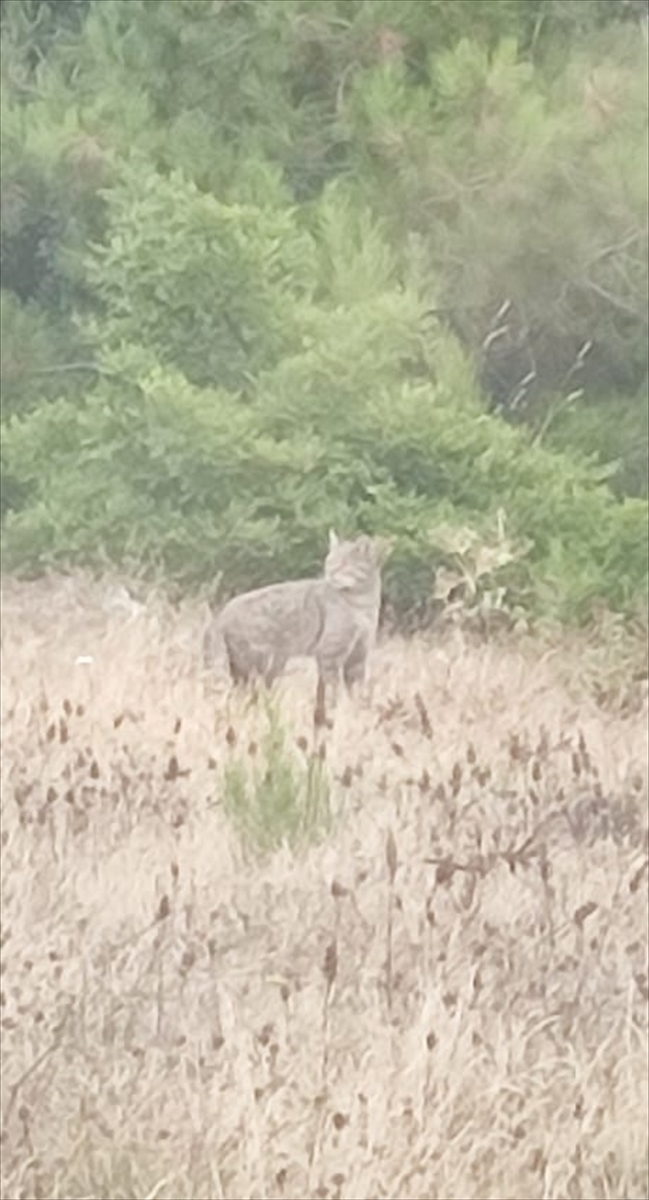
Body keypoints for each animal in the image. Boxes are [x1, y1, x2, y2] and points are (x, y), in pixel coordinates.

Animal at [201, 532, 388, 705]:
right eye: (330, 562)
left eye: (344, 564)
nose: (329, 574)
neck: (363, 604)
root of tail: (222, 614)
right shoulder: (330, 655)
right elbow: (332, 688)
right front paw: (336, 707)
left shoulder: (358, 655)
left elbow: (356, 689)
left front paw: (357, 707)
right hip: (259, 663)